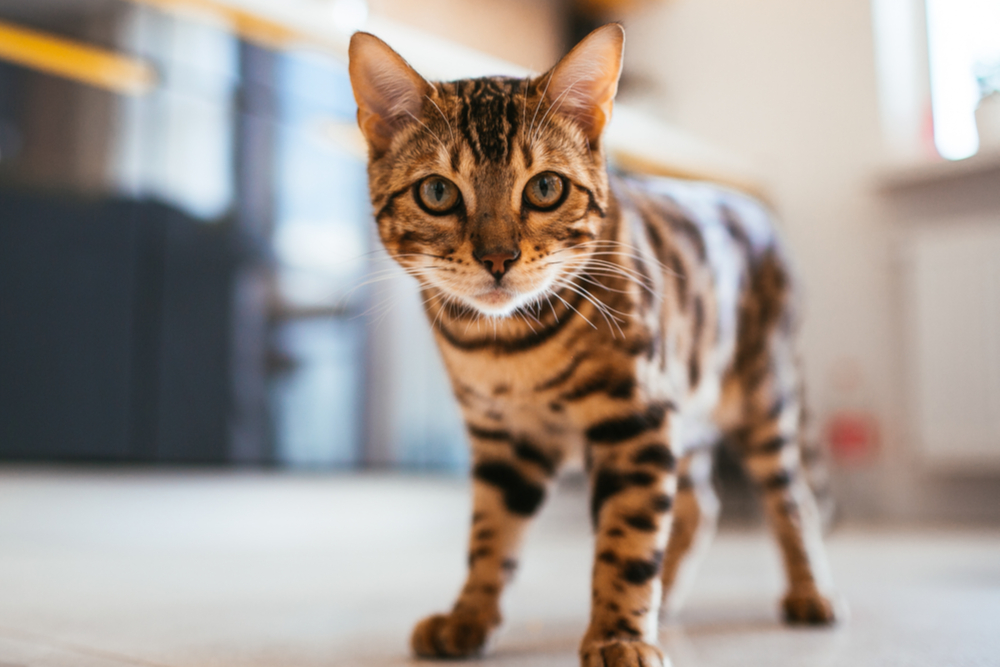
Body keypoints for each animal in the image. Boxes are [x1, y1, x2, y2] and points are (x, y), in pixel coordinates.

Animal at [348, 23, 840, 667]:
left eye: (546, 188)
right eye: (436, 192)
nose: (498, 258)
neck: (507, 349)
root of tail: (757, 209)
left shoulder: (637, 420)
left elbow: (628, 539)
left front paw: (619, 635)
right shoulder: (506, 439)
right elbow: (490, 536)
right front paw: (469, 616)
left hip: (763, 398)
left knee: (790, 499)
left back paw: (808, 592)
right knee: (700, 504)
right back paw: (669, 595)